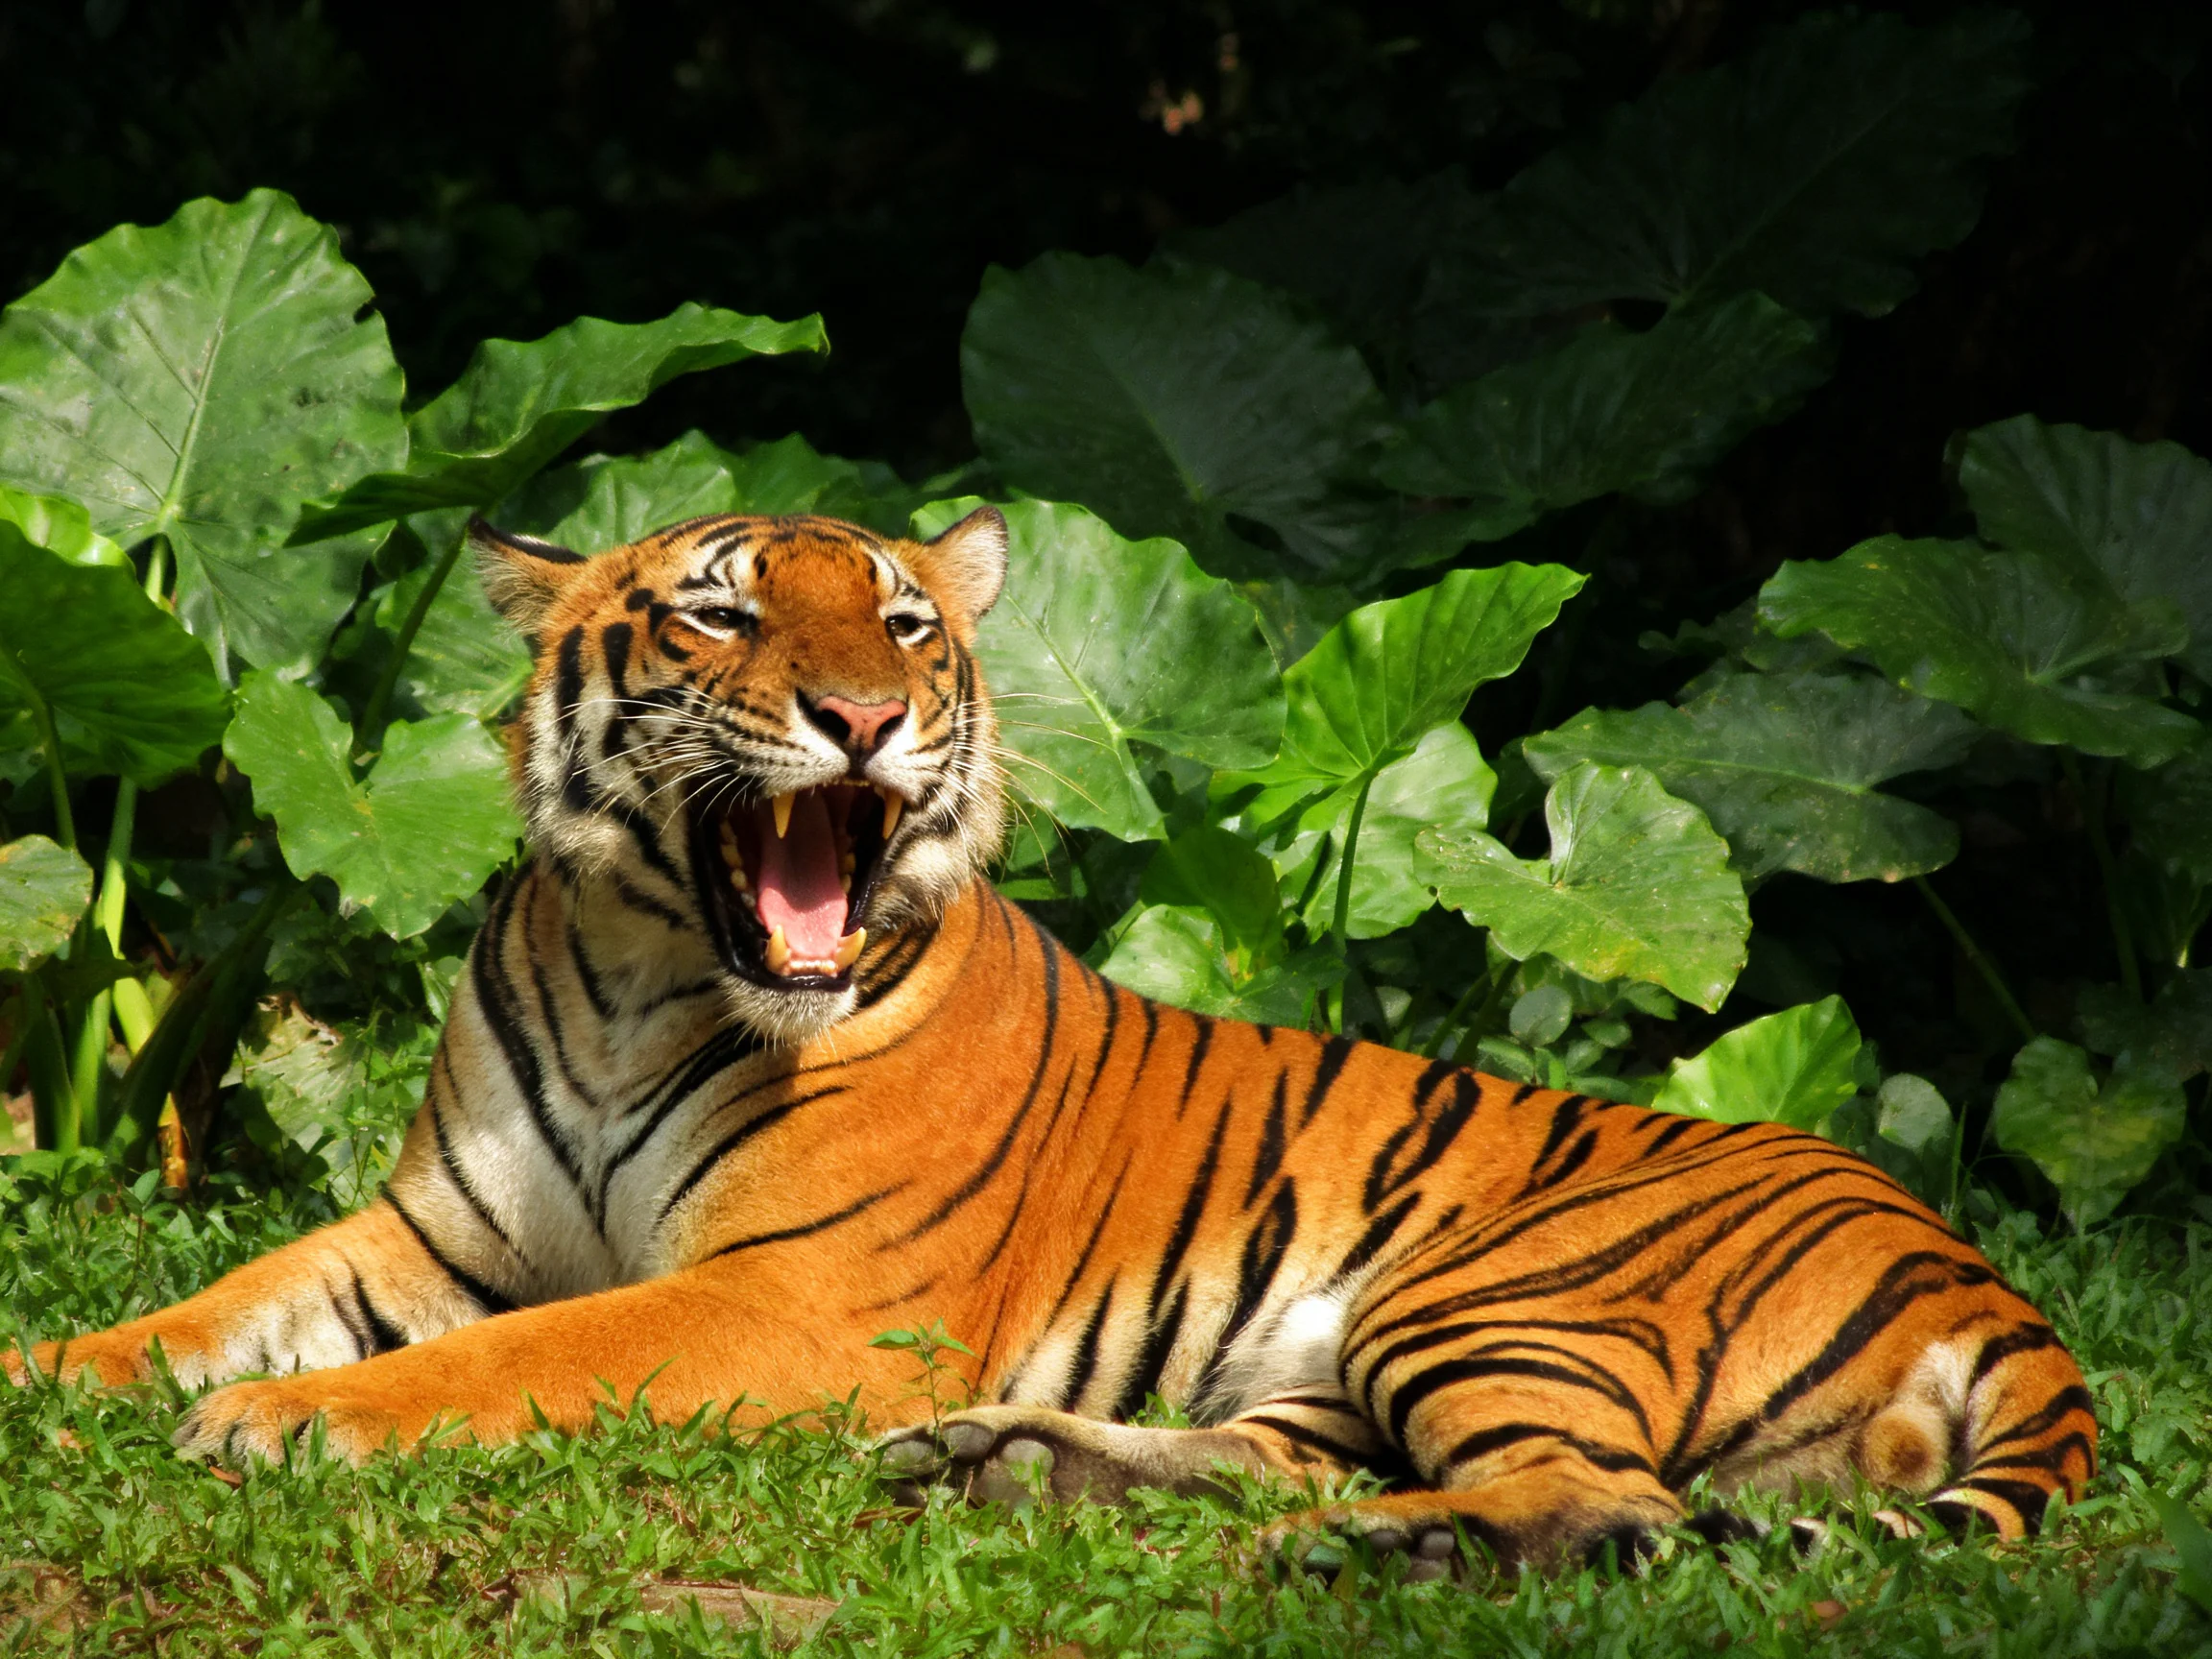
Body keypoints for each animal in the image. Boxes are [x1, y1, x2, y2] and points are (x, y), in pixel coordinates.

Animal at [4, 507, 2095, 1575]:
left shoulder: (791, 1296)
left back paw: (1349, 1561)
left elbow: (516, 1359)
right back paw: (1004, 1469)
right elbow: (199, 1309)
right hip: (1338, 1366)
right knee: (1315, 1464)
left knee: (1611, 1514)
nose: (862, 718)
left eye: (908, 624)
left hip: (1495, 1291)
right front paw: (55, 1372)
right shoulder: (431, 1231)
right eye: (720, 614)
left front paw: (284, 1425)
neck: (633, 962)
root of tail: (1974, 1267)